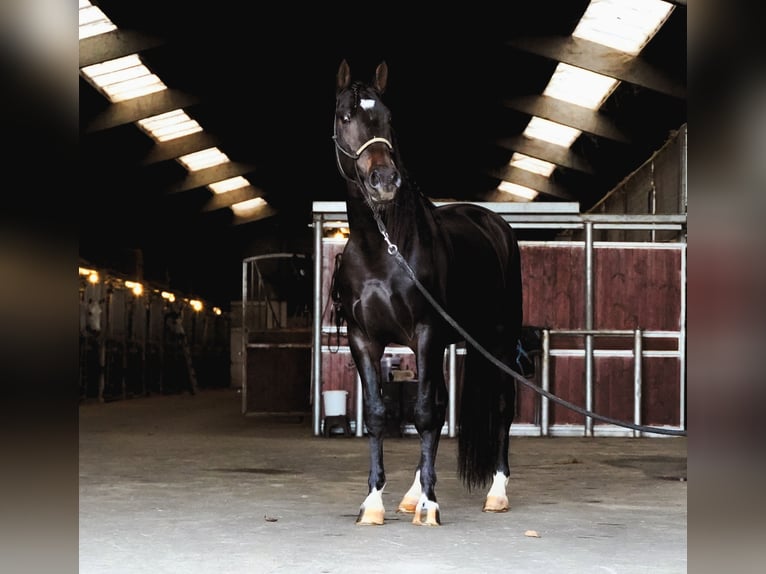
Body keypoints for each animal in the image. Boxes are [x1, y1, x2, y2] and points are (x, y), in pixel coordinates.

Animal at [332, 60, 524, 528]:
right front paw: (374, 503)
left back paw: (496, 493)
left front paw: (431, 505)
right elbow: (380, 414)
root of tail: (494, 224)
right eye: (345, 116)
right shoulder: (364, 340)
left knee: (501, 407)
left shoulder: (425, 333)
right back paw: (411, 493)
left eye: (389, 118)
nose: (384, 180)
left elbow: (423, 413)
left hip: (498, 340)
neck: (382, 248)